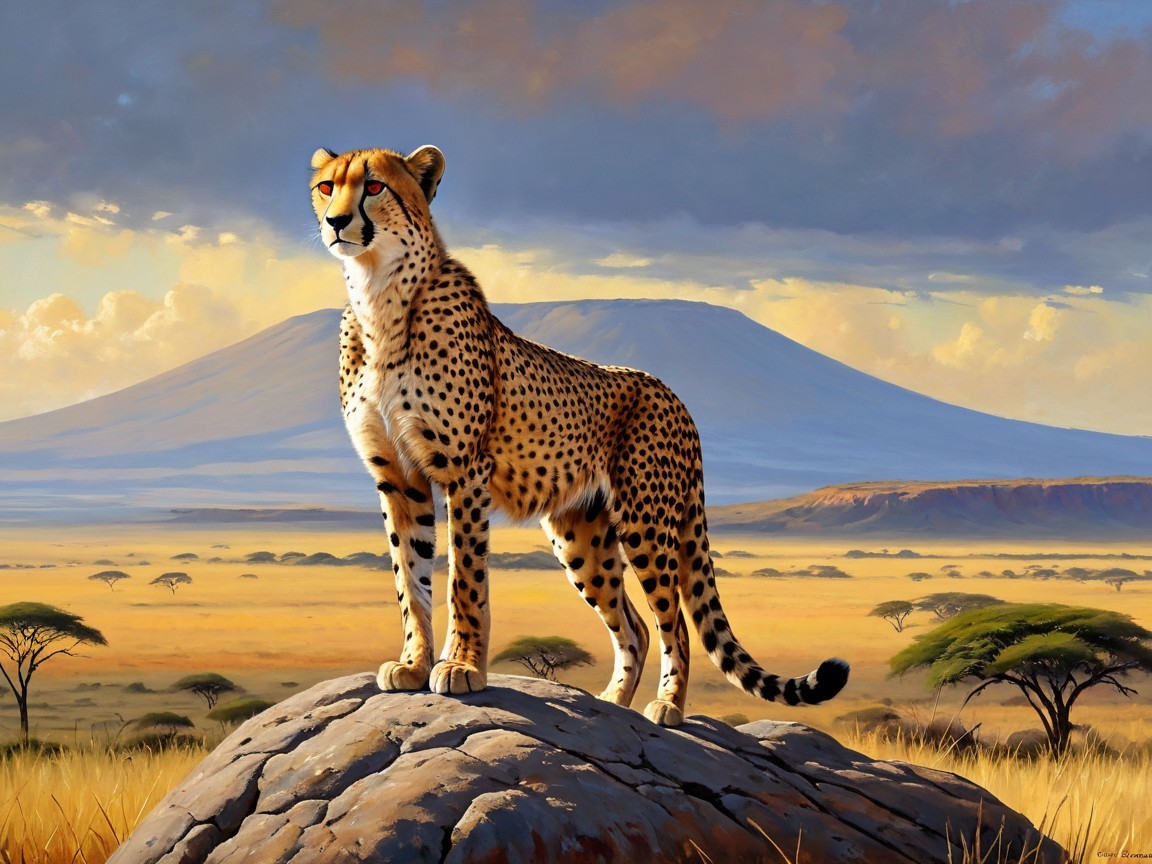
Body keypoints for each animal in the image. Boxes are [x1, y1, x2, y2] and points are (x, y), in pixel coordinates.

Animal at [309, 144, 849, 726]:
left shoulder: (465, 471)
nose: (336, 221)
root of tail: (672, 393)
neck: (379, 296)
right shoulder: (398, 475)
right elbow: (410, 578)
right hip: (582, 533)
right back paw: (612, 703)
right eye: (326, 187)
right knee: (634, 626)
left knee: (676, 624)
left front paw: (461, 667)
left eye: (375, 186)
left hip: (645, 522)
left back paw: (666, 706)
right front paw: (412, 664)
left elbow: (464, 580)